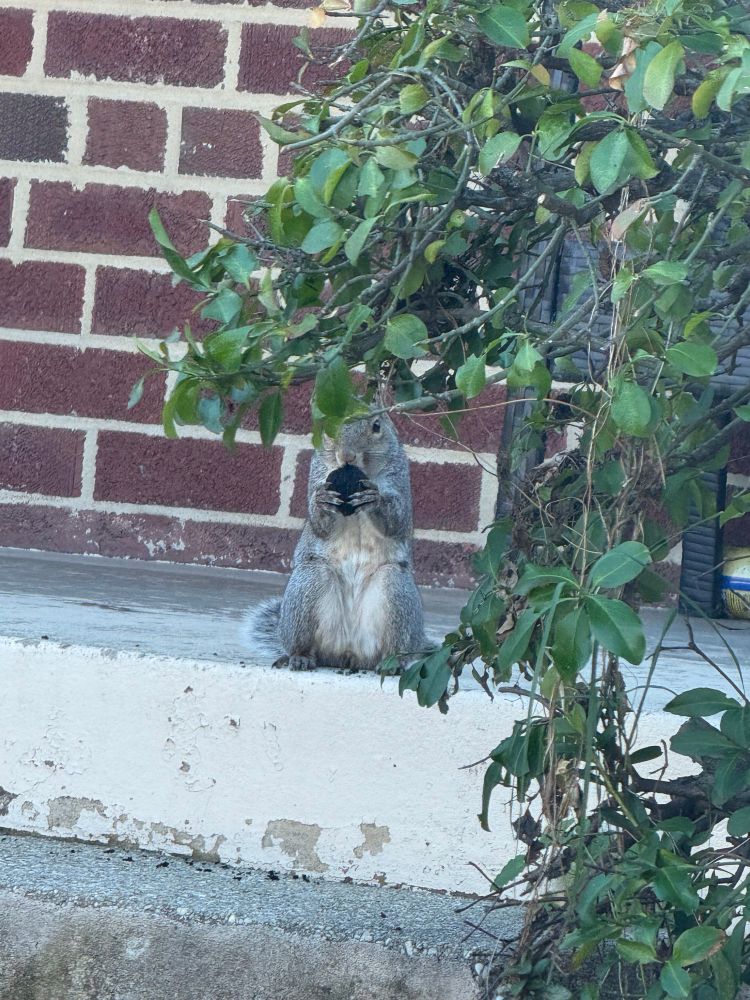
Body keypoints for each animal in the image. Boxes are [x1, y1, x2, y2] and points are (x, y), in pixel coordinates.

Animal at [248, 411, 427, 670]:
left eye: (376, 426)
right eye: (328, 425)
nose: (347, 456)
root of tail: (348, 652)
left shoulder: (400, 478)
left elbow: (397, 520)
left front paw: (375, 499)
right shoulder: (316, 473)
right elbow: (319, 525)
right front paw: (322, 500)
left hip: (397, 593)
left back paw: (392, 662)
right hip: (306, 587)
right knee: (304, 644)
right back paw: (299, 656)